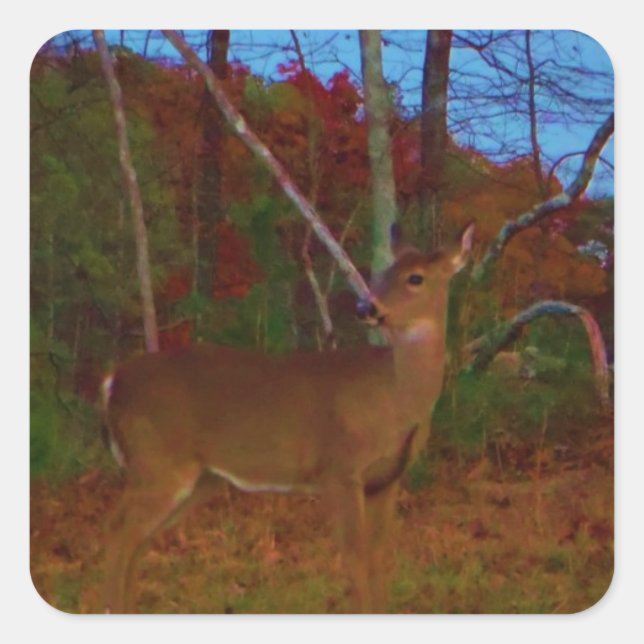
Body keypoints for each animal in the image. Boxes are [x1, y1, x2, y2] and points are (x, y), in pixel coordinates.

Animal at [101, 222, 475, 613]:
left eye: (415, 277)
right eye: (384, 273)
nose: (365, 306)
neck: (397, 397)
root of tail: (112, 382)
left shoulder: (386, 479)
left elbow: (378, 558)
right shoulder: (339, 468)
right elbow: (355, 557)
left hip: (196, 478)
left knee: (138, 540)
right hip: (156, 462)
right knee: (117, 532)